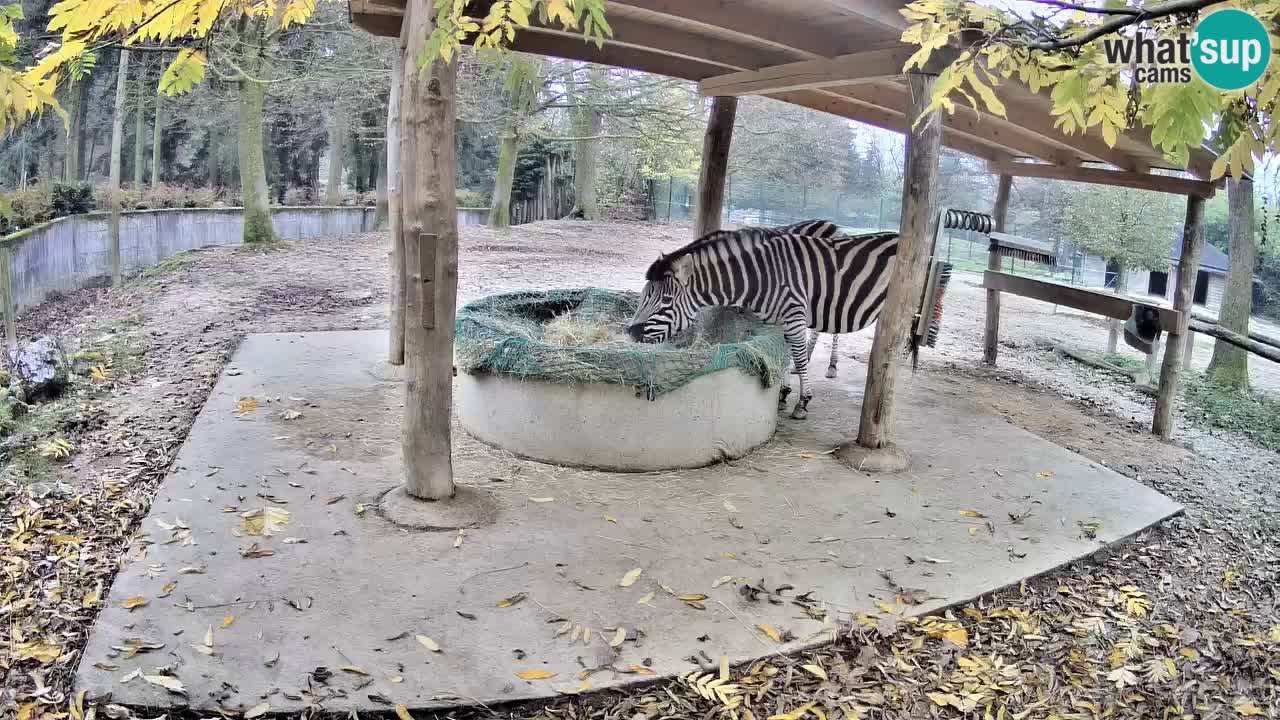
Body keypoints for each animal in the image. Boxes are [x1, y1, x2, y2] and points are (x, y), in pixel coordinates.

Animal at [625, 221, 901, 420]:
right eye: (643, 296)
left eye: (666, 301)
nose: (630, 333)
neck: (760, 276)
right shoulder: (781, 318)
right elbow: (782, 351)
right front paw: (783, 392)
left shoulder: (793, 311)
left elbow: (796, 355)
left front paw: (802, 402)